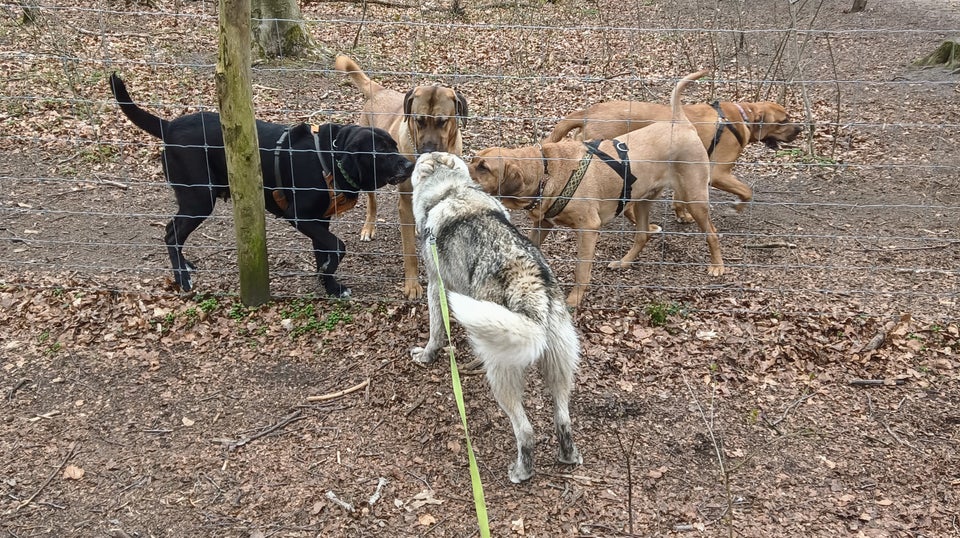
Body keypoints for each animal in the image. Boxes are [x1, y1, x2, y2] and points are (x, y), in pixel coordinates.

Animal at [109, 73, 412, 296]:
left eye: (395, 145)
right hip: (199, 199)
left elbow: (324, 251)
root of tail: (169, 127)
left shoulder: (320, 220)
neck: (329, 157)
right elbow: (337, 247)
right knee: (171, 233)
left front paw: (331, 287)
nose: (409, 165)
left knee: (174, 233)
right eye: (380, 152)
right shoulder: (299, 216)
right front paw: (328, 275)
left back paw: (186, 266)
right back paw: (182, 278)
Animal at [334, 54, 468, 298]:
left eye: (443, 121)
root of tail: (378, 90)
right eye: (418, 120)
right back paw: (369, 227)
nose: (426, 150)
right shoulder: (404, 202)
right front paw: (412, 285)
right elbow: (409, 251)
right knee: (372, 202)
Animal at [408, 151, 580, 482]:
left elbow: (436, 331)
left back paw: (521, 472)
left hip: (503, 377)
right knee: (563, 419)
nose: (425, 150)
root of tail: (527, 283)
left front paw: (426, 355)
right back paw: (568, 456)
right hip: (559, 367)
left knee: (526, 431)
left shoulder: (436, 286)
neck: (451, 191)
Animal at [468, 69, 724, 308]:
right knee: (642, 234)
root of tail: (681, 122)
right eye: (474, 159)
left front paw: (574, 300)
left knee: (711, 232)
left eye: (484, 167)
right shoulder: (543, 224)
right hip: (643, 200)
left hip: (695, 198)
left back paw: (717, 267)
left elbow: (581, 270)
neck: (545, 171)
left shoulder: (589, 228)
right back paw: (624, 262)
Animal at [548, 98, 804, 220]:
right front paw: (737, 207)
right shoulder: (718, 173)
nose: (801, 129)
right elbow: (747, 191)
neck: (742, 117)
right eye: (783, 121)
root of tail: (588, 112)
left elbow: (679, 198)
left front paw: (682, 214)